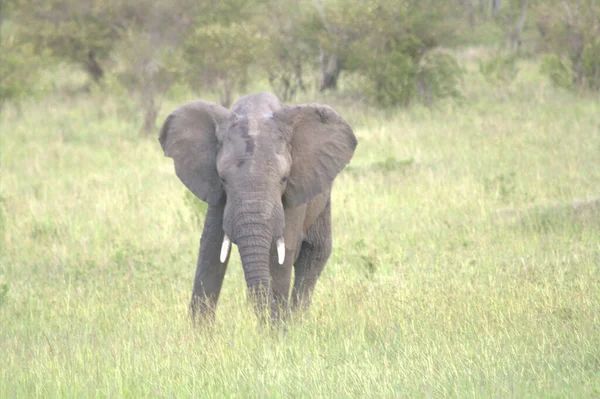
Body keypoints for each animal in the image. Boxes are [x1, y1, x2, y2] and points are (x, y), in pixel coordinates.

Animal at [158, 91, 356, 324]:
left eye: (284, 179)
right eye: (223, 179)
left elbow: (282, 253)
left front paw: (277, 332)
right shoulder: (217, 194)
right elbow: (211, 248)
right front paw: (199, 333)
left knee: (315, 253)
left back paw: (298, 322)